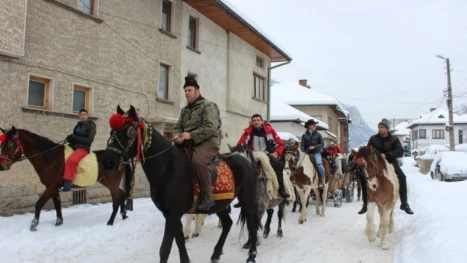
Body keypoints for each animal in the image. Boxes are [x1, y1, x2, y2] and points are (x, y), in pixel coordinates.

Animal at [0, 126, 132, 231]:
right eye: (2, 144)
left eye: (11, 144)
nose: (2, 165)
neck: (50, 158)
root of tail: (121, 158)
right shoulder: (52, 187)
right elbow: (57, 204)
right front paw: (59, 223)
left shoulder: (52, 186)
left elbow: (39, 203)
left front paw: (33, 225)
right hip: (106, 181)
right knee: (121, 194)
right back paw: (124, 215)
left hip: (112, 182)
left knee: (116, 199)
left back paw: (110, 222)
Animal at [102, 105, 260, 263]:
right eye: (112, 132)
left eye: (129, 132)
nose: (108, 161)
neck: (167, 167)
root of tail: (247, 162)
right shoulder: (170, 213)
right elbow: (179, 240)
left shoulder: (173, 213)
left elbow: (165, 248)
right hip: (219, 204)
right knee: (228, 223)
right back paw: (216, 253)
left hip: (247, 199)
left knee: (252, 225)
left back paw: (252, 254)